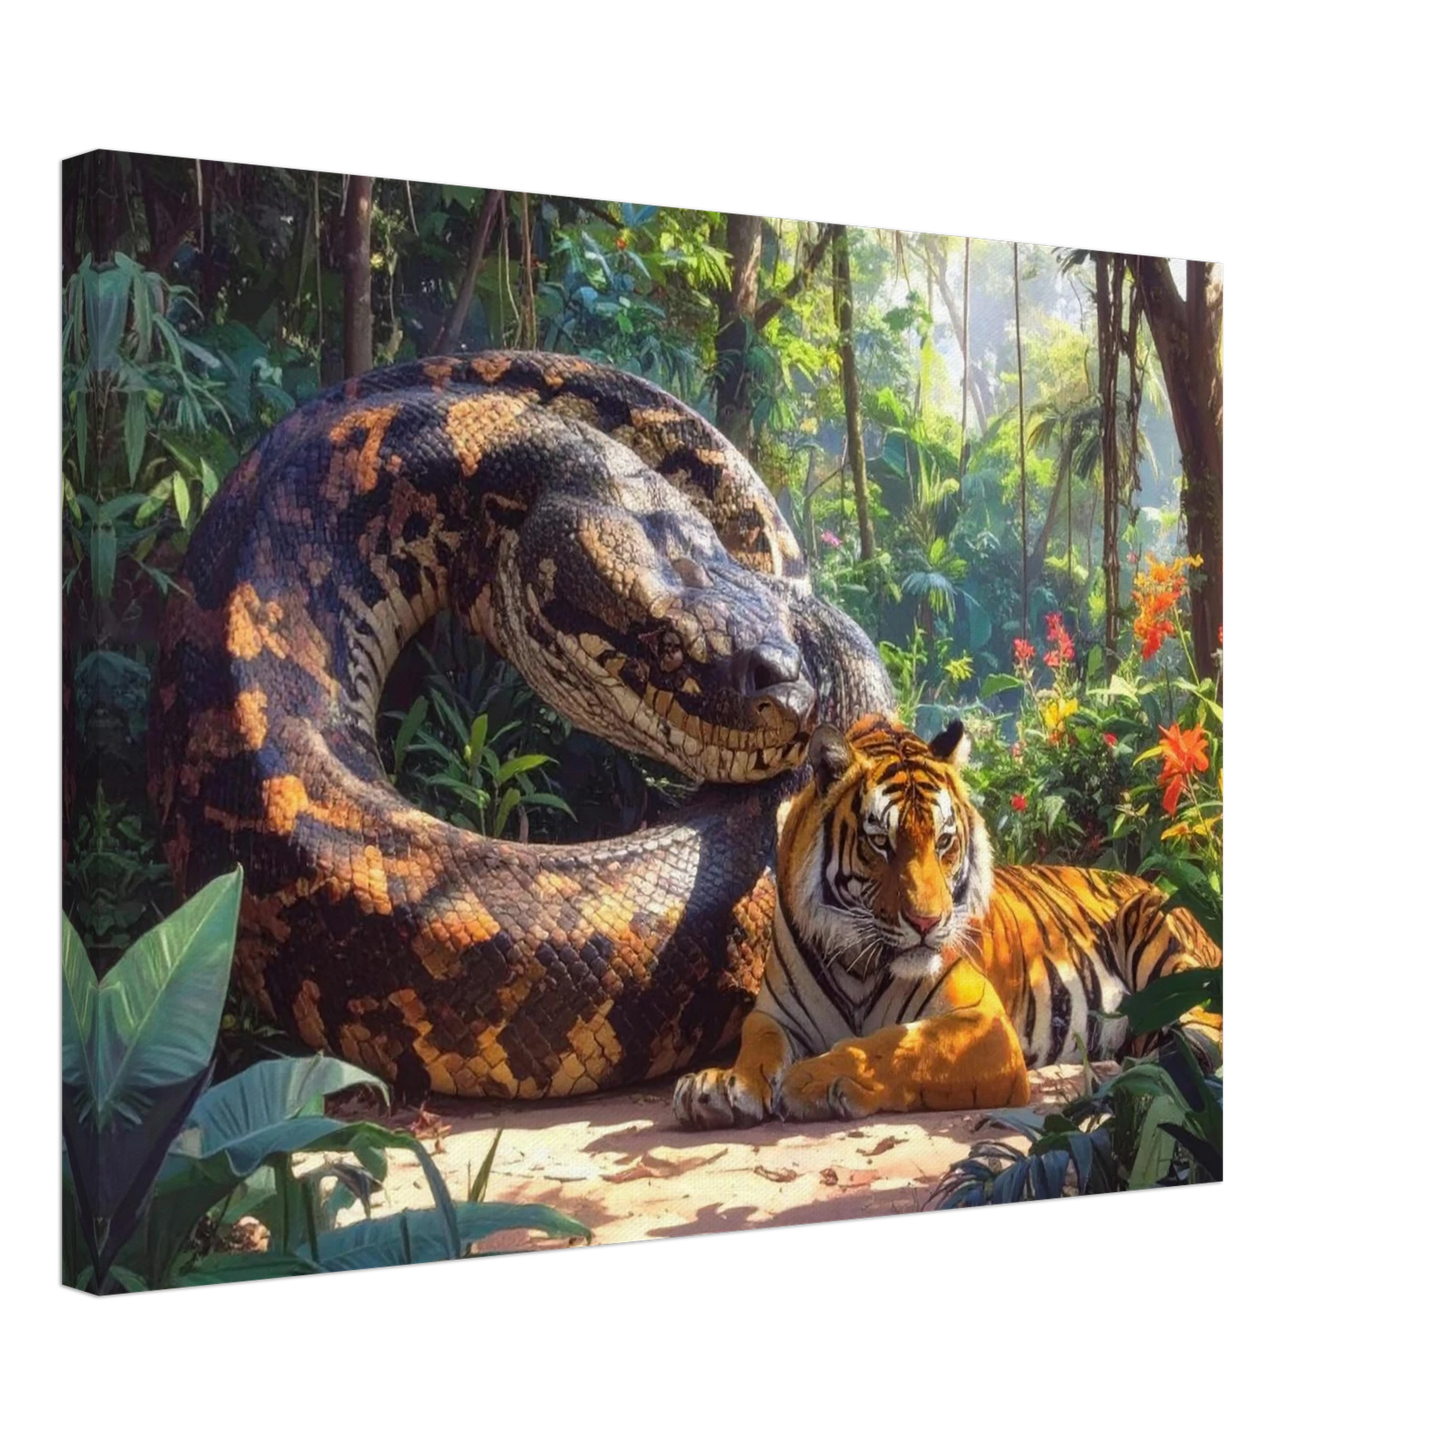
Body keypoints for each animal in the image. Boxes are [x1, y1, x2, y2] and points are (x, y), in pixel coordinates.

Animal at [673, 712, 1223, 1129]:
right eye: (881, 842)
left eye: (943, 841)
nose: (926, 921)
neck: (857, 964)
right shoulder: (774, 1016)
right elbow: (758, 1044)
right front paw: (720, 1084)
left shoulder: (983, 1022)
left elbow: (896, 1045)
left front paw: (812, 1078)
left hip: (1159, 938)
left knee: (1205, 1030)